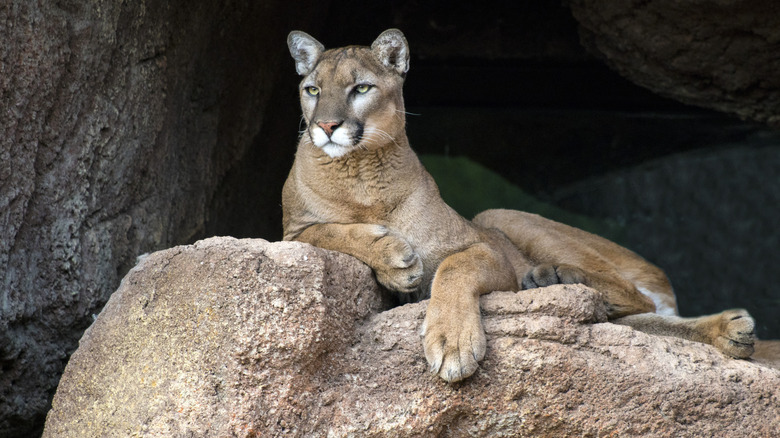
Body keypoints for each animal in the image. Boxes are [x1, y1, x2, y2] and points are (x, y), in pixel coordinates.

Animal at [281, 29, 757, 382]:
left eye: (361, 88)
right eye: (312, 89)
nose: (326, 126)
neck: (361, 177)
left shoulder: (485, 248)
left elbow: (453, 268)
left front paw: (452, 342)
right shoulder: (290, 232)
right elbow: (324, 232)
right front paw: (393, 257)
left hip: (499, 216)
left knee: (634, 299)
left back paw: (555, 276)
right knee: (640, 321)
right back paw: (729, 332)